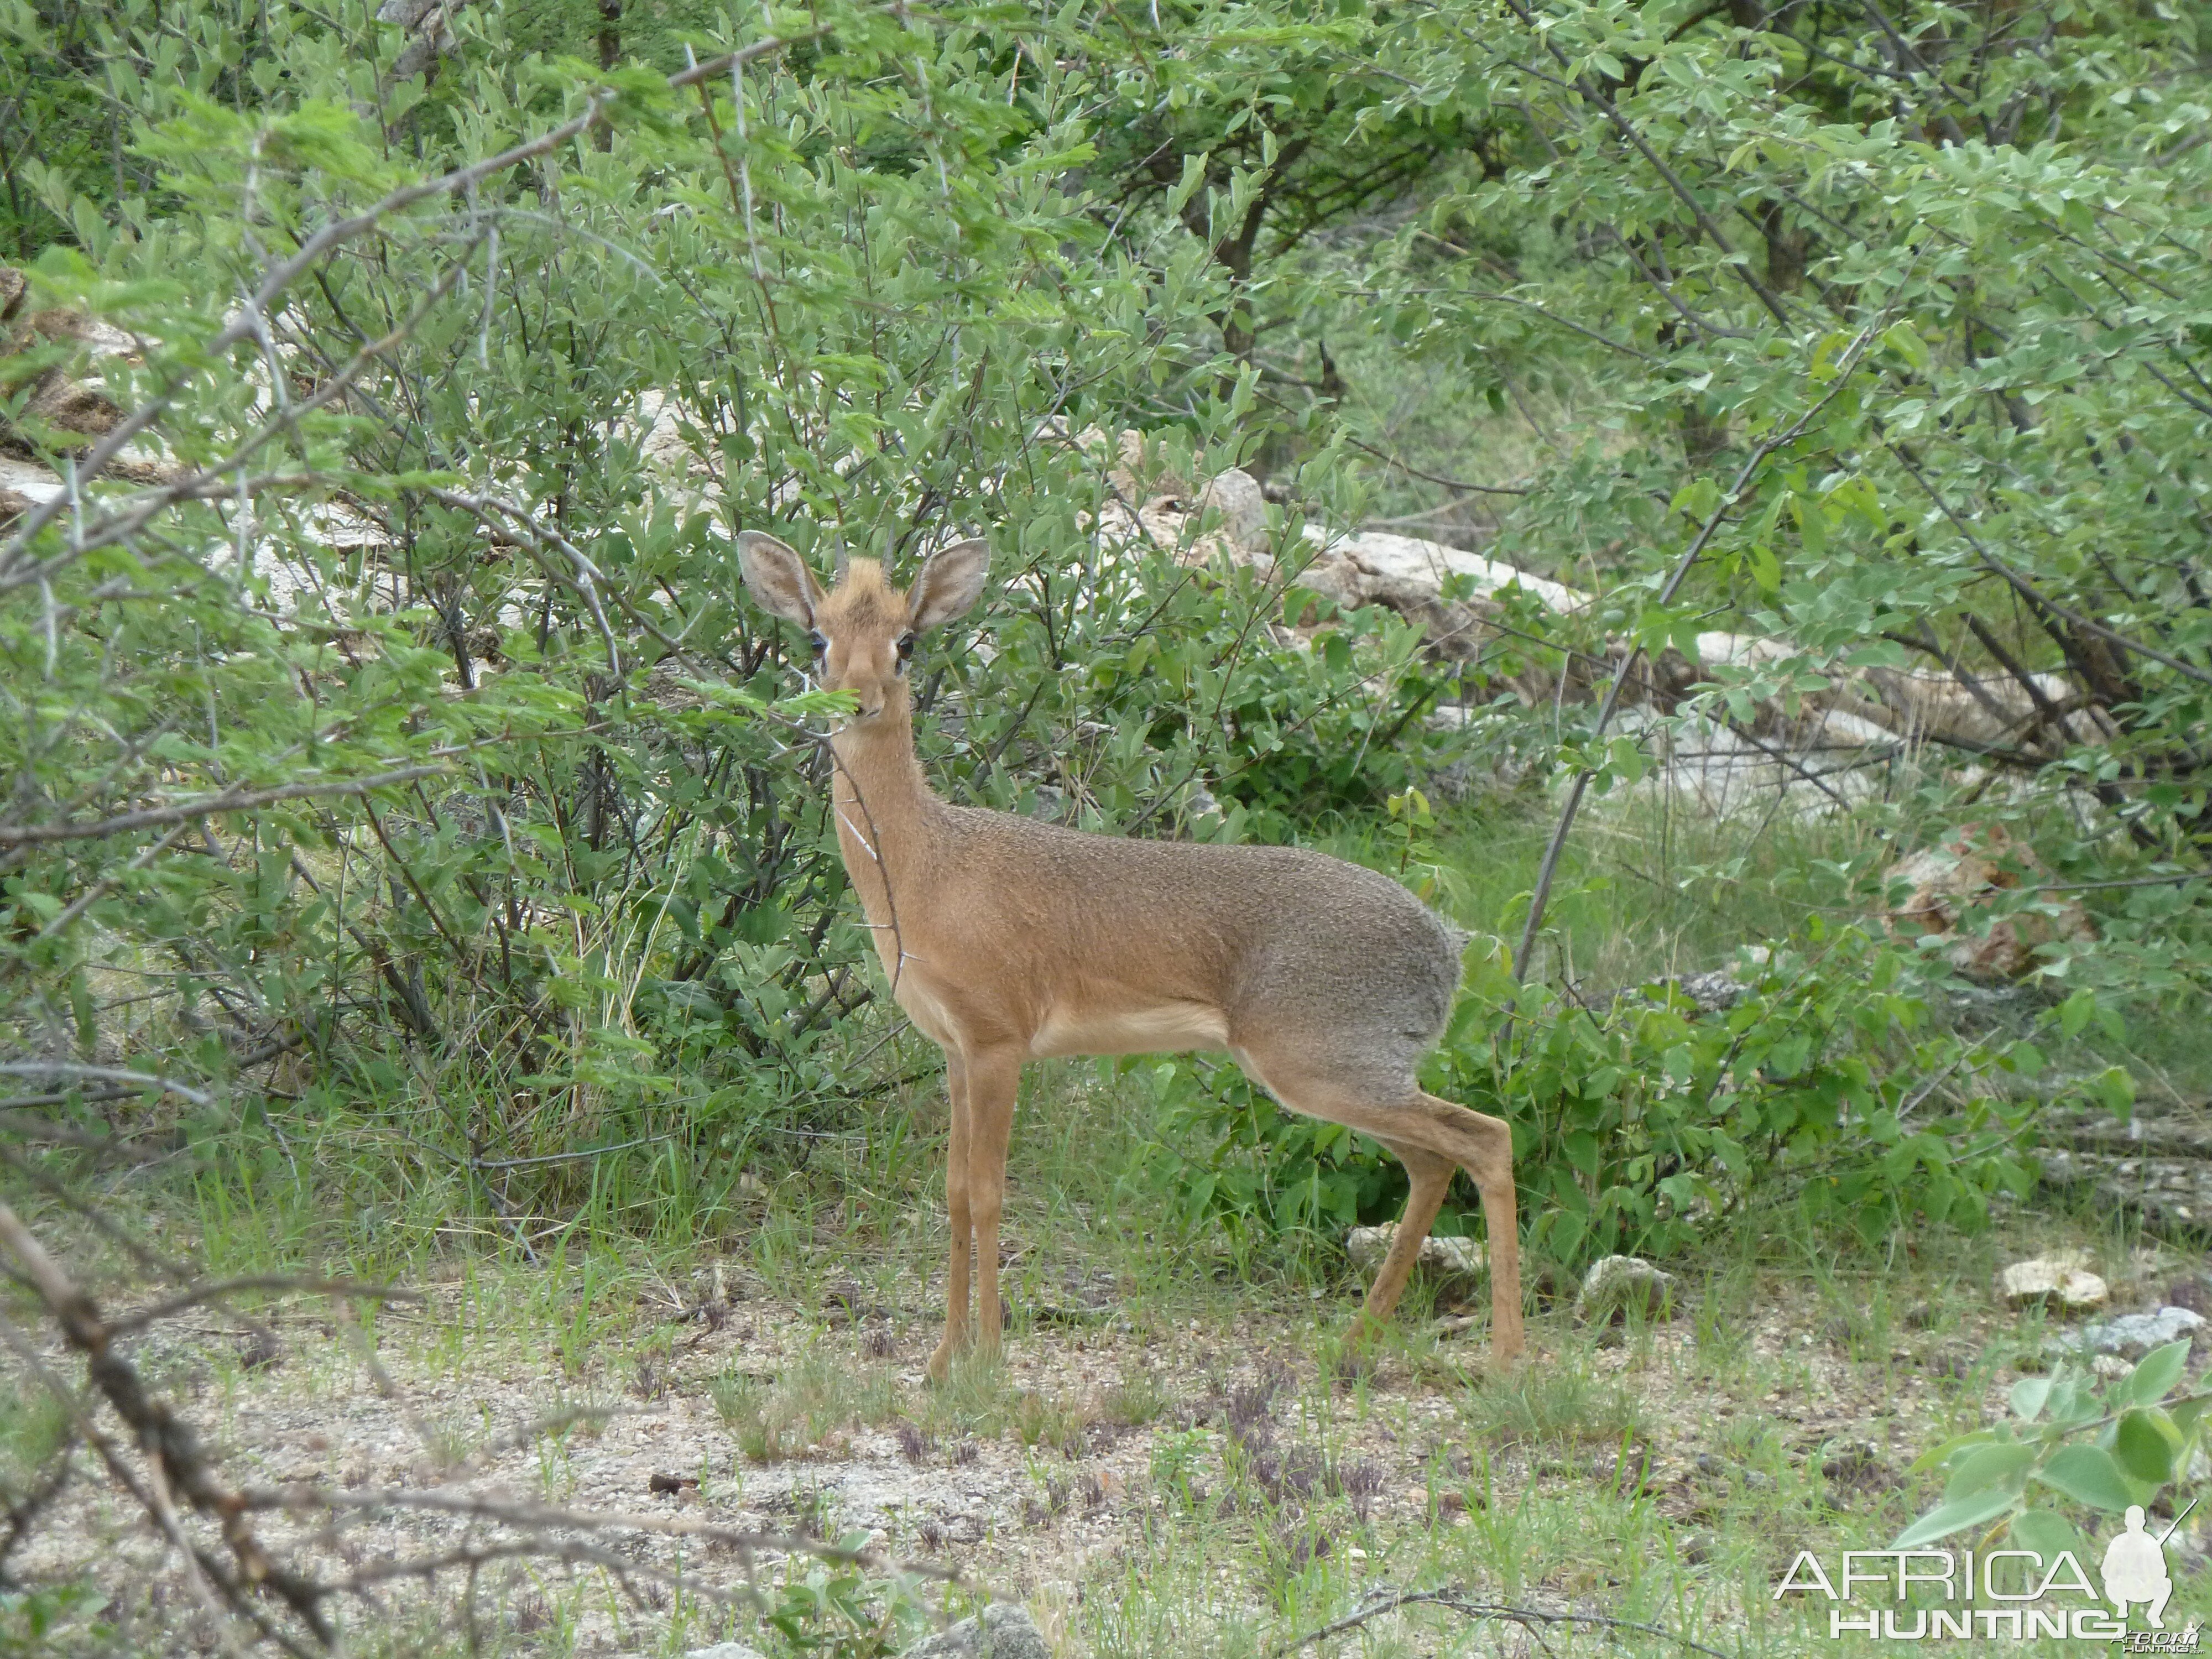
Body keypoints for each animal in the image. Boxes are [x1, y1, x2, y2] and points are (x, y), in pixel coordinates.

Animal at [743, 529, 1522, 1380]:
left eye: (906, 642)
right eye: (818, 638)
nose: (855, 701)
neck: (926, 868)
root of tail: (1445, 948)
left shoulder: (998, 1044)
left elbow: (988, 1192)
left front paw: (989, 1360)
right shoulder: (952, 1049)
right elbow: (951, 1192)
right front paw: (944, 1360)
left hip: (1325, 1068)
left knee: (1486, 1138)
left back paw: (1509, 1360)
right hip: (1347, 1076)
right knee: (1434, 1161)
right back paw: (1356, 1346)